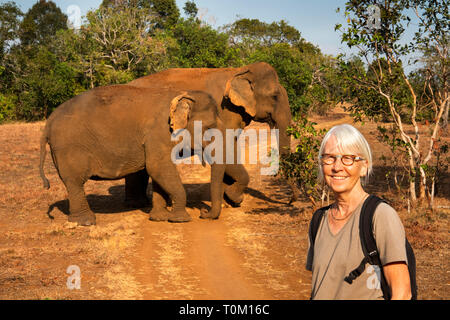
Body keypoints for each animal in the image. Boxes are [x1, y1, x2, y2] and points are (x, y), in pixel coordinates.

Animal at [39, 84, 223, 225]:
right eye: (209, 127)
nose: (203, 213)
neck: (182, 94)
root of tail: (48, 122)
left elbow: (157, 172)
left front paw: (160, 218)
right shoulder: (158, 133)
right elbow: (157, 167)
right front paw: (180, 220)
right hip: (68, 148)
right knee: (75, 182)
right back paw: (86, 222)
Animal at [126, 61, 296, 219]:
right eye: (274, 96)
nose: (291, 202)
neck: (240, 71)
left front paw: (228, 201)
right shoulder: (226, 110)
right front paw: (233, 198)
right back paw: (139, 204)